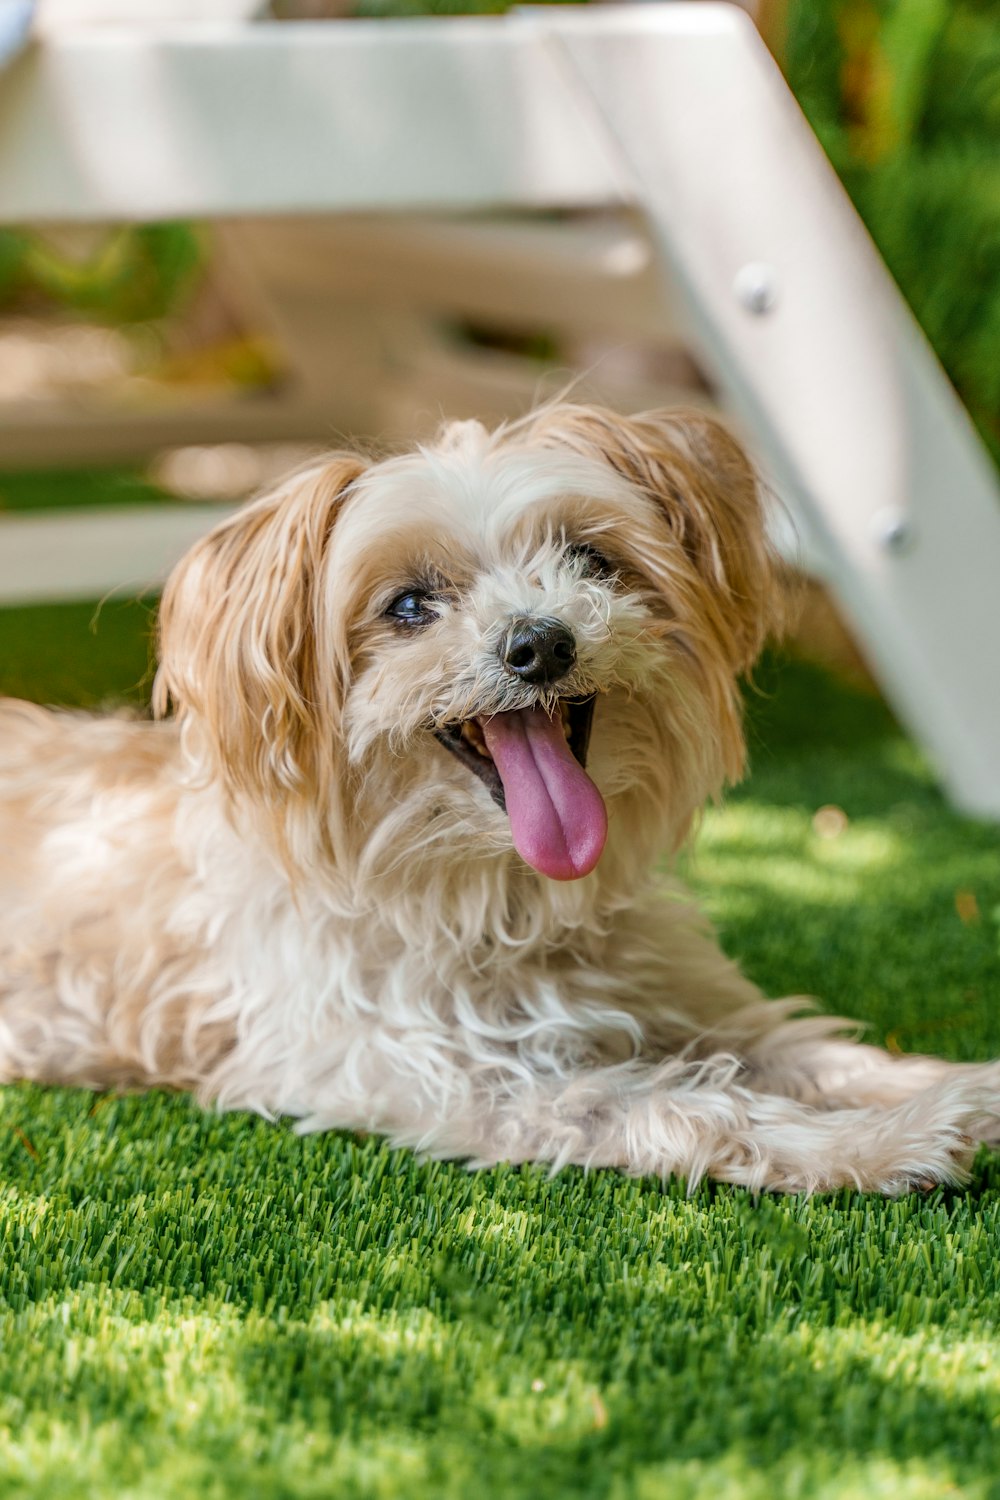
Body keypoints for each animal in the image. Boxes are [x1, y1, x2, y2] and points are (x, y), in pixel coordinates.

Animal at [1, 402, 1000, 1194]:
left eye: (589, 558)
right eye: (408, 606)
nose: (540, 643)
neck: (506, 899)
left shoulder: (694, 998)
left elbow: (814, 1049)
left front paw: (962, 1088)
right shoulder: (459, 1079)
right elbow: (693, 1106)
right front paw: (883, 1143)